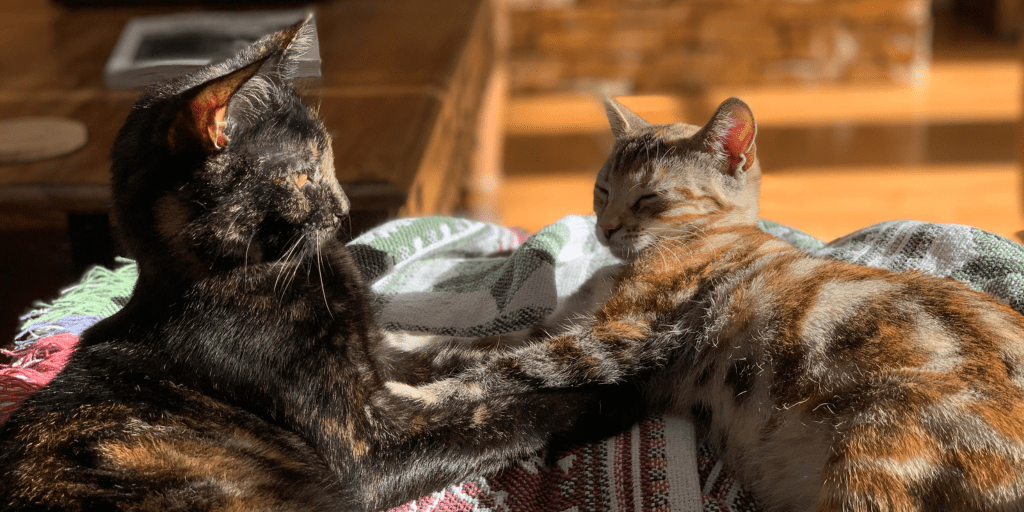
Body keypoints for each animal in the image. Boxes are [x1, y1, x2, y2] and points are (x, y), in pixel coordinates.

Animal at [0, 20, 675, 512]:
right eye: (303, 172)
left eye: (327, 158)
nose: (348, 208)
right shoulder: (367, 449)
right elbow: (496, 418)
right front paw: (609, 394)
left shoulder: (380, 363)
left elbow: (469, 359)